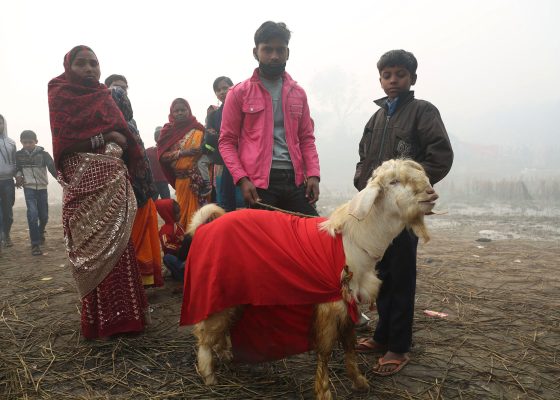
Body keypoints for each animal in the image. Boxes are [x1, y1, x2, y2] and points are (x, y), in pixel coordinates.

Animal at [182, 158, 440, 398]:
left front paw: (359, 381)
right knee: (204, 332)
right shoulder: (330, 304)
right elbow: (325, 351)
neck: (351, 241)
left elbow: (350, 345)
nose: (431, 193)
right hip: (215, 288)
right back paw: (208, 374)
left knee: (220, 326)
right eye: (394, 181)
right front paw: (324, 391)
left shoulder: (348, 301)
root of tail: (205, 226)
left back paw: (224, 353)